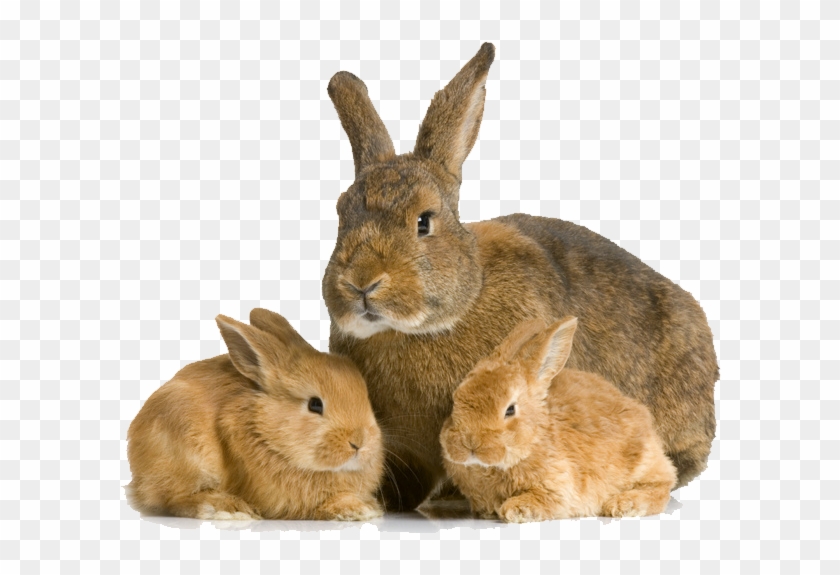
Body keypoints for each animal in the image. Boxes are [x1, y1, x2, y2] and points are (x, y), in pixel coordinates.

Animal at [125, 308, 384, 521]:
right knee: (175, 499)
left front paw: (370, 505)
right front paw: (357, 509)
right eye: (315, 405)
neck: (264, 430)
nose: (360, 442)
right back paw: (226, 508)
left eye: (365, 397)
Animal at [441, 317, 678, 522]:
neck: (535, 439)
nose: (469, 443)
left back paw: (623, 505)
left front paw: (514, 510)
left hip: (641, 463)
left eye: (509, 410)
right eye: (456, 400)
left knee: (662, 486)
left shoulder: (559, 488)